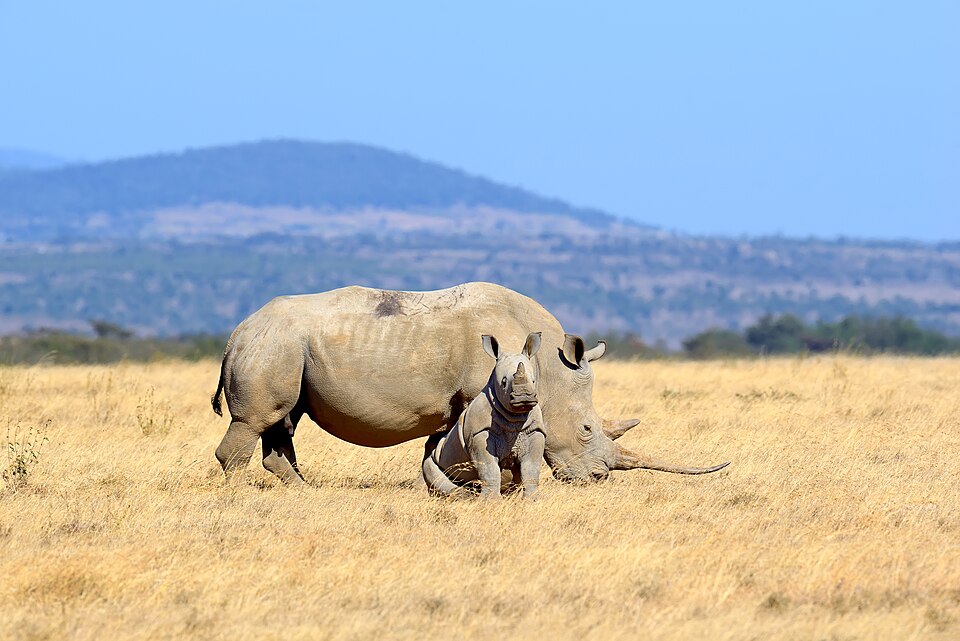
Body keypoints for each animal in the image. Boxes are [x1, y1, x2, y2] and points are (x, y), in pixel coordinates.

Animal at [422, 332, 546, 499]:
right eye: (504, 382)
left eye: (533, 381)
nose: (525, 397)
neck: (516, 416)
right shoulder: (479, 433)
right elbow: (489, 468)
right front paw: (491, 501)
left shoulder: (535, 431)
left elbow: (531, 468)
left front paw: (533, 500)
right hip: (435, 457)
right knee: (433, 470)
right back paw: (465, 496)